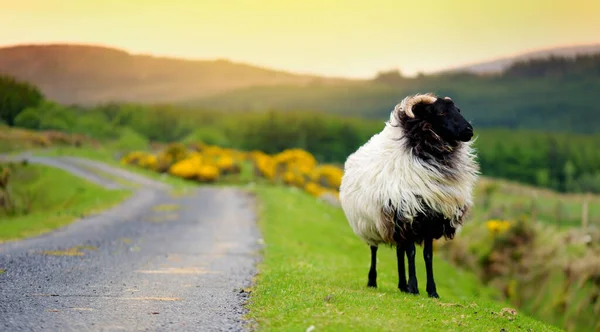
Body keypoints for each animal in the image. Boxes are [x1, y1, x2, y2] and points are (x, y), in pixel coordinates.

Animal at [340, 92, 480, 298]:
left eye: (458, 110)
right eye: (440, 112)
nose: (468, 130)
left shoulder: (430, 218)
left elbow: (427, 256)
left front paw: (431, 291)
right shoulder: (408, 215)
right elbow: (412, 253)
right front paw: (414, 287)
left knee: (399, 252)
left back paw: (401, 285)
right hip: (370, 222)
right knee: (374, 250)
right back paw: (373, 281)